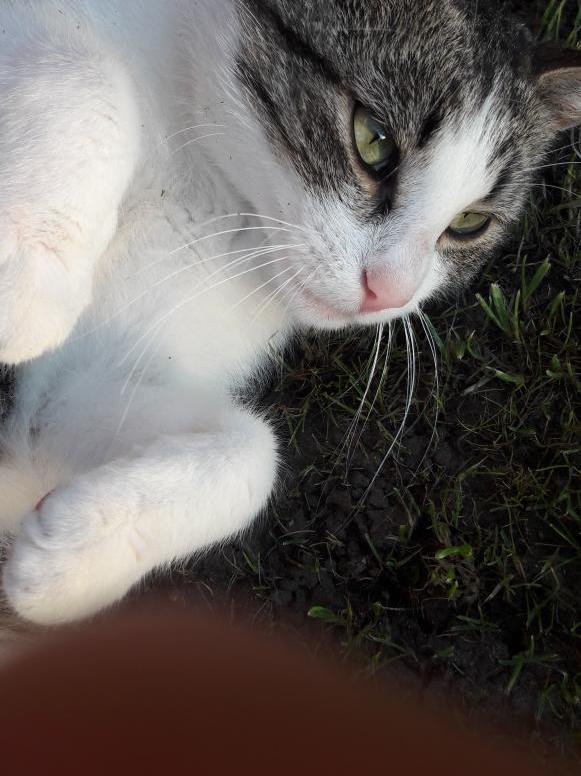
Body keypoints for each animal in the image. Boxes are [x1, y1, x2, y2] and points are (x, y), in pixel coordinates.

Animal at [0, 0, 578, 626]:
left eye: (470, 222)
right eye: (373, 139)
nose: (388, 292)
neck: (220, 199)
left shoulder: (76, 391)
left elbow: (254, 455)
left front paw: (75, 556)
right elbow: (83, 68)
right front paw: (28, 283)